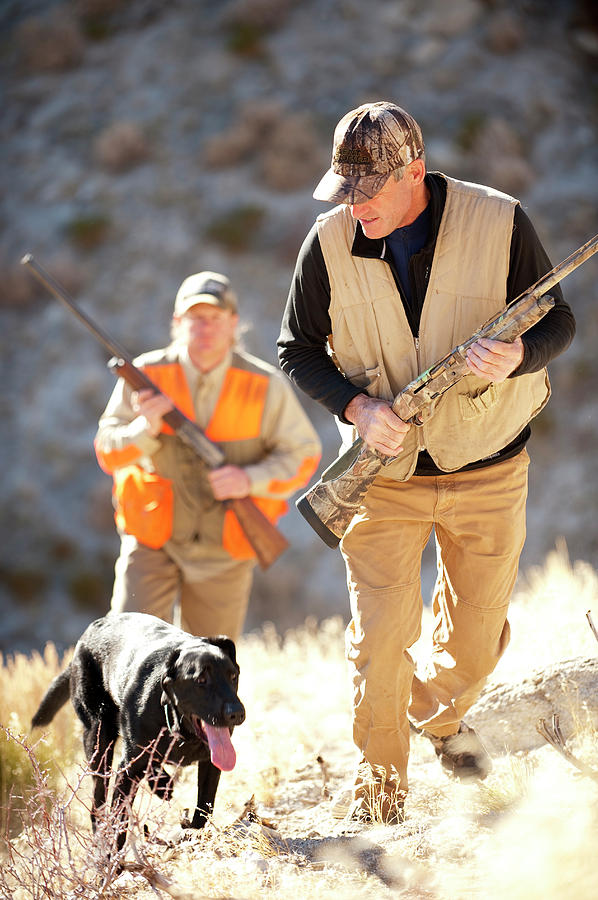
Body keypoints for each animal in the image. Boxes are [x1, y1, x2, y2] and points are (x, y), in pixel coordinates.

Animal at [29, 612, 246, 852]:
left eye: (233, 676)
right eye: (201, 680)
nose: (237, 713)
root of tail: (88, 632)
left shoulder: (210, 763)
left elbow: (204, 807)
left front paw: (194, 834)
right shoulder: (127, 769)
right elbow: (119, 820)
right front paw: (111, 858)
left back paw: (162, 784)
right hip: (98, 738)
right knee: (98, 802)